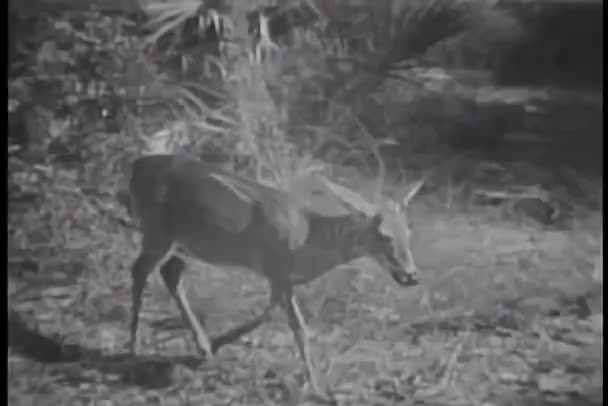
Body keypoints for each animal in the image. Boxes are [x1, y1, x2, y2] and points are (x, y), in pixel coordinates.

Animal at [121, 154, 426, 402]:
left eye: (408, 232)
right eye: (384, 237)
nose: (411, 275)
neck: (308, 241)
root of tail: (136, 166)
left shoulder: (279, 277)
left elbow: (270, 313)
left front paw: (214, 344)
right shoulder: (277, 269)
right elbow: (298, 328)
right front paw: (317, 389)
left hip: (187, 243)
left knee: (169, 272)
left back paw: (197, 344)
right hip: (156, 231)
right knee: (139, 270)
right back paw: (133, 347)